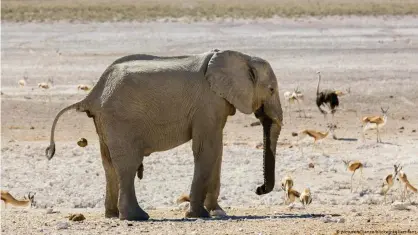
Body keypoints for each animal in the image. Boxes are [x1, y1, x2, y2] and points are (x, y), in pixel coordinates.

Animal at [45, 49, 284, 220]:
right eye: (271, 89)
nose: (259, 189)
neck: (242, 56)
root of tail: (93, 94)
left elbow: (217, 151)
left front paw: (218, 212)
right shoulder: (208, 103)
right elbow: (206, 149)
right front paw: (199, 215)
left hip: (104, 122)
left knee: (109, 165)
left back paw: (112, 215)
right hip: (120, 121)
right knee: (128, 165)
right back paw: (136, 217)